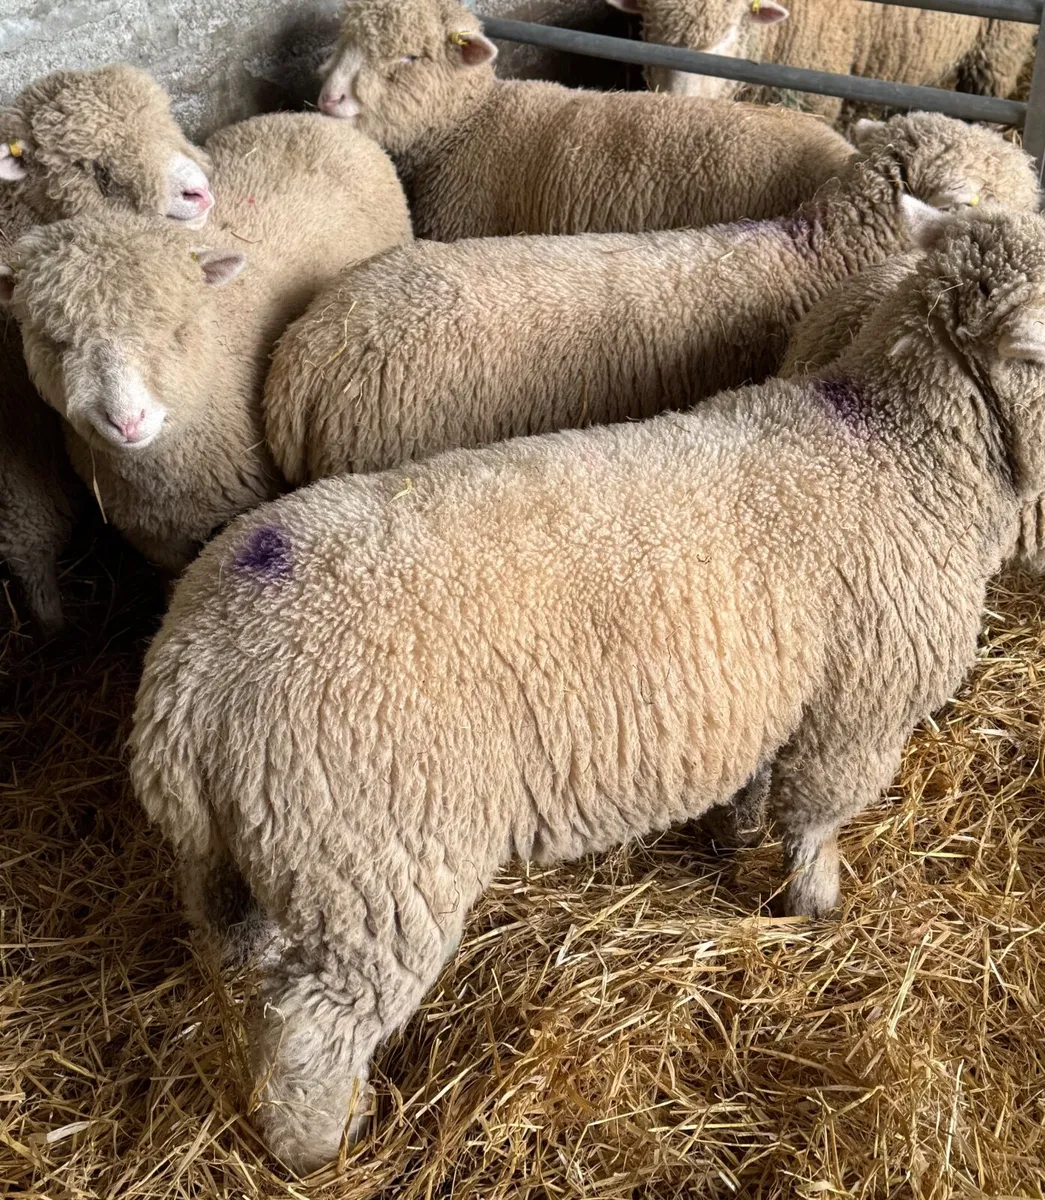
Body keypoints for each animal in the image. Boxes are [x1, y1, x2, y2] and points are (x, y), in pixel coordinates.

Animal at [0, 64, 215, 630]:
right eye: (92, 168)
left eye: (166, 117)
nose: (197, 192)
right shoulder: (14, 425)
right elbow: (29, 528)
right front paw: (53, 622)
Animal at [130, 204, 1045, 1172]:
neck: (892, 451)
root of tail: (187, 690)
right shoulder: (858, 706)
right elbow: (818, 818)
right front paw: (816, 907)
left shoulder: (776, 694)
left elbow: (760, 785)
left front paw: (736, 838)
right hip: (374, 867)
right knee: (313, 1030)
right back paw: (324, 1143)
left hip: (260, 859)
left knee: (251, 967)